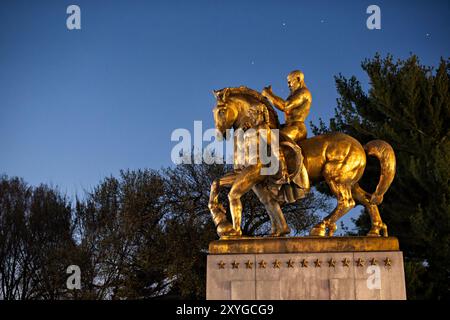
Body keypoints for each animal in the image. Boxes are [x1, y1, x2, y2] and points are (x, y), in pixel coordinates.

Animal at [207, 87, 394, 238]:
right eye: (213, 110)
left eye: (221, 110)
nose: (220, 134)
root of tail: (361, 146)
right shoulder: (247, 176)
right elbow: (217, 183)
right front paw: (278, 232)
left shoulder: (254, 172)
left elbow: (234, 194)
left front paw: (232, 231)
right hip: (351, 182)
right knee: (367, 200)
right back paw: (375, 231)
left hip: (334, 176)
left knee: (347, 202)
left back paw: (319, 228)